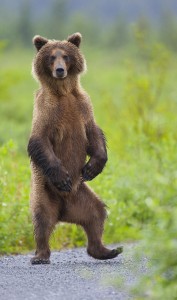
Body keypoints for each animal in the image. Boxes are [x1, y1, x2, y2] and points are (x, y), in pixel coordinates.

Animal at [27, 31, 122, 264]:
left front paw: (92, 167)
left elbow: (93, 133)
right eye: (51, 57)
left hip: (83, 195)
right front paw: (62, 176)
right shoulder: (46, 109)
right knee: (42, 219)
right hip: (44, 190)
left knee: (97, 214)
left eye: (66, 56)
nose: (60, 70)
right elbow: (39, 140)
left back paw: (107, 250)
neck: (63, 92)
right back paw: (40, 255)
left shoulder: (83, 105)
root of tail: (64, 211)